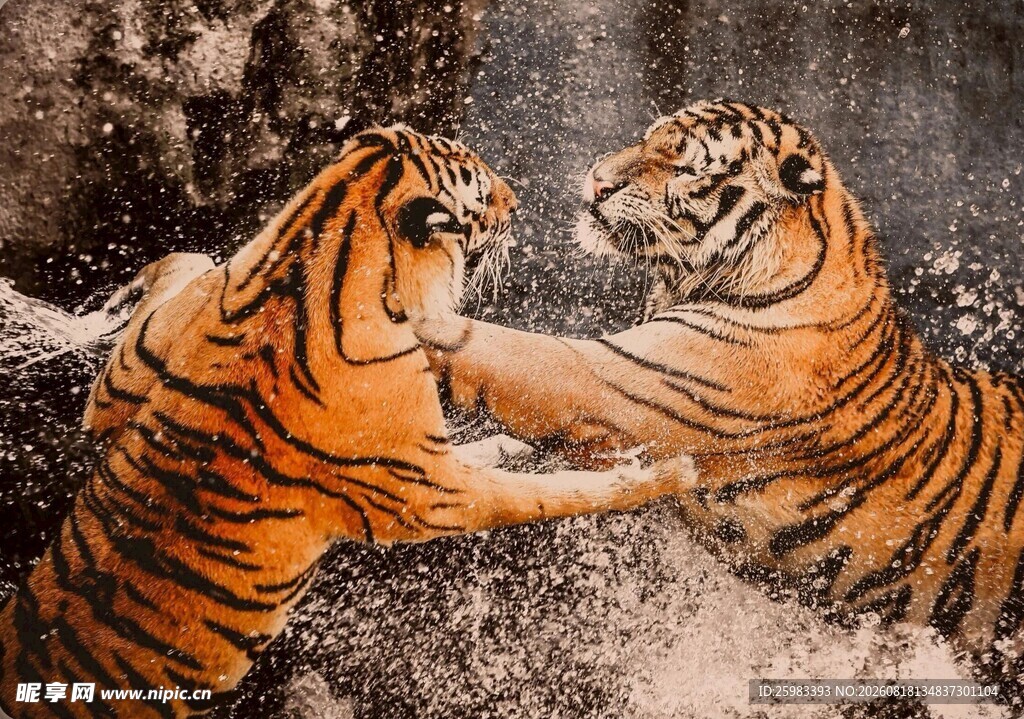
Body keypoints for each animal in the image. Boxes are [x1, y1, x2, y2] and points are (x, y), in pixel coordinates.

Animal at [0, 125, 686, 718]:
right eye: (483, 191)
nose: (519, 202)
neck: (312, 244)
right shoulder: (431, 495)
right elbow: (555, 493)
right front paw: (662, 471)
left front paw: (510, 447)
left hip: (131, 368)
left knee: (169, 279)